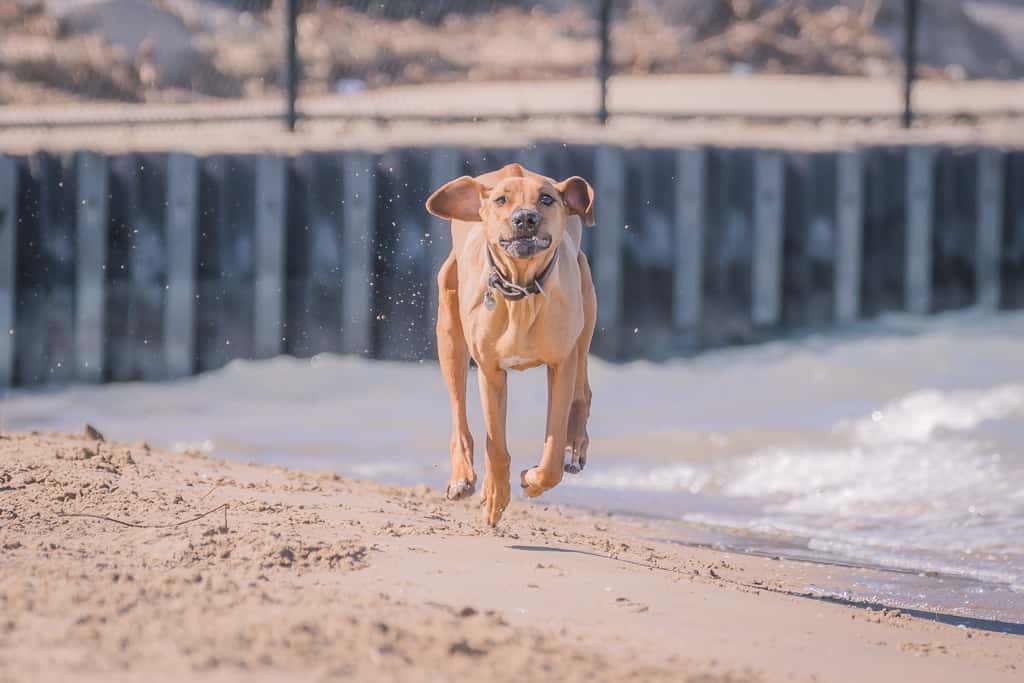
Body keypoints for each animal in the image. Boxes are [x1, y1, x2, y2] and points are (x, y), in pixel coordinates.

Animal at [425, 162, 598, 528]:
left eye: (546, 198)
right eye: (501, 200)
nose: (525, 219)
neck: (522, 289)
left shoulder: (560, 364)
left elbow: (551, 454)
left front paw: (533, 480)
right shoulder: (490, 371)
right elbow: (496, 445)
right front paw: (495, 496)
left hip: (586, 310)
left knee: (582, 390)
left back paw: (575, 444)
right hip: (448, 332)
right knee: (459, 411)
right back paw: (462, 478)